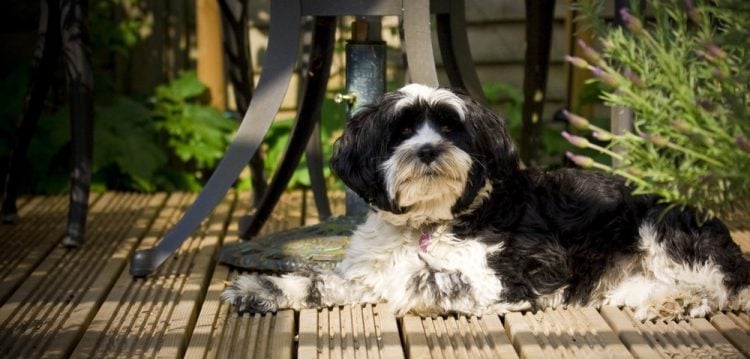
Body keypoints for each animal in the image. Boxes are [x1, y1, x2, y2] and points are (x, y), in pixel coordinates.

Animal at [225, 84, 750, 320]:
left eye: (451, 127)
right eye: (402, 131)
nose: (429, 150)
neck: (428, 223)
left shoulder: (516, 275)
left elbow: (423, 278)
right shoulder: (363, 269)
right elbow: (323, 281)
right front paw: (262, 288)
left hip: (662, 226)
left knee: (718, 285)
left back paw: (686, 297)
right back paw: (665, 300)